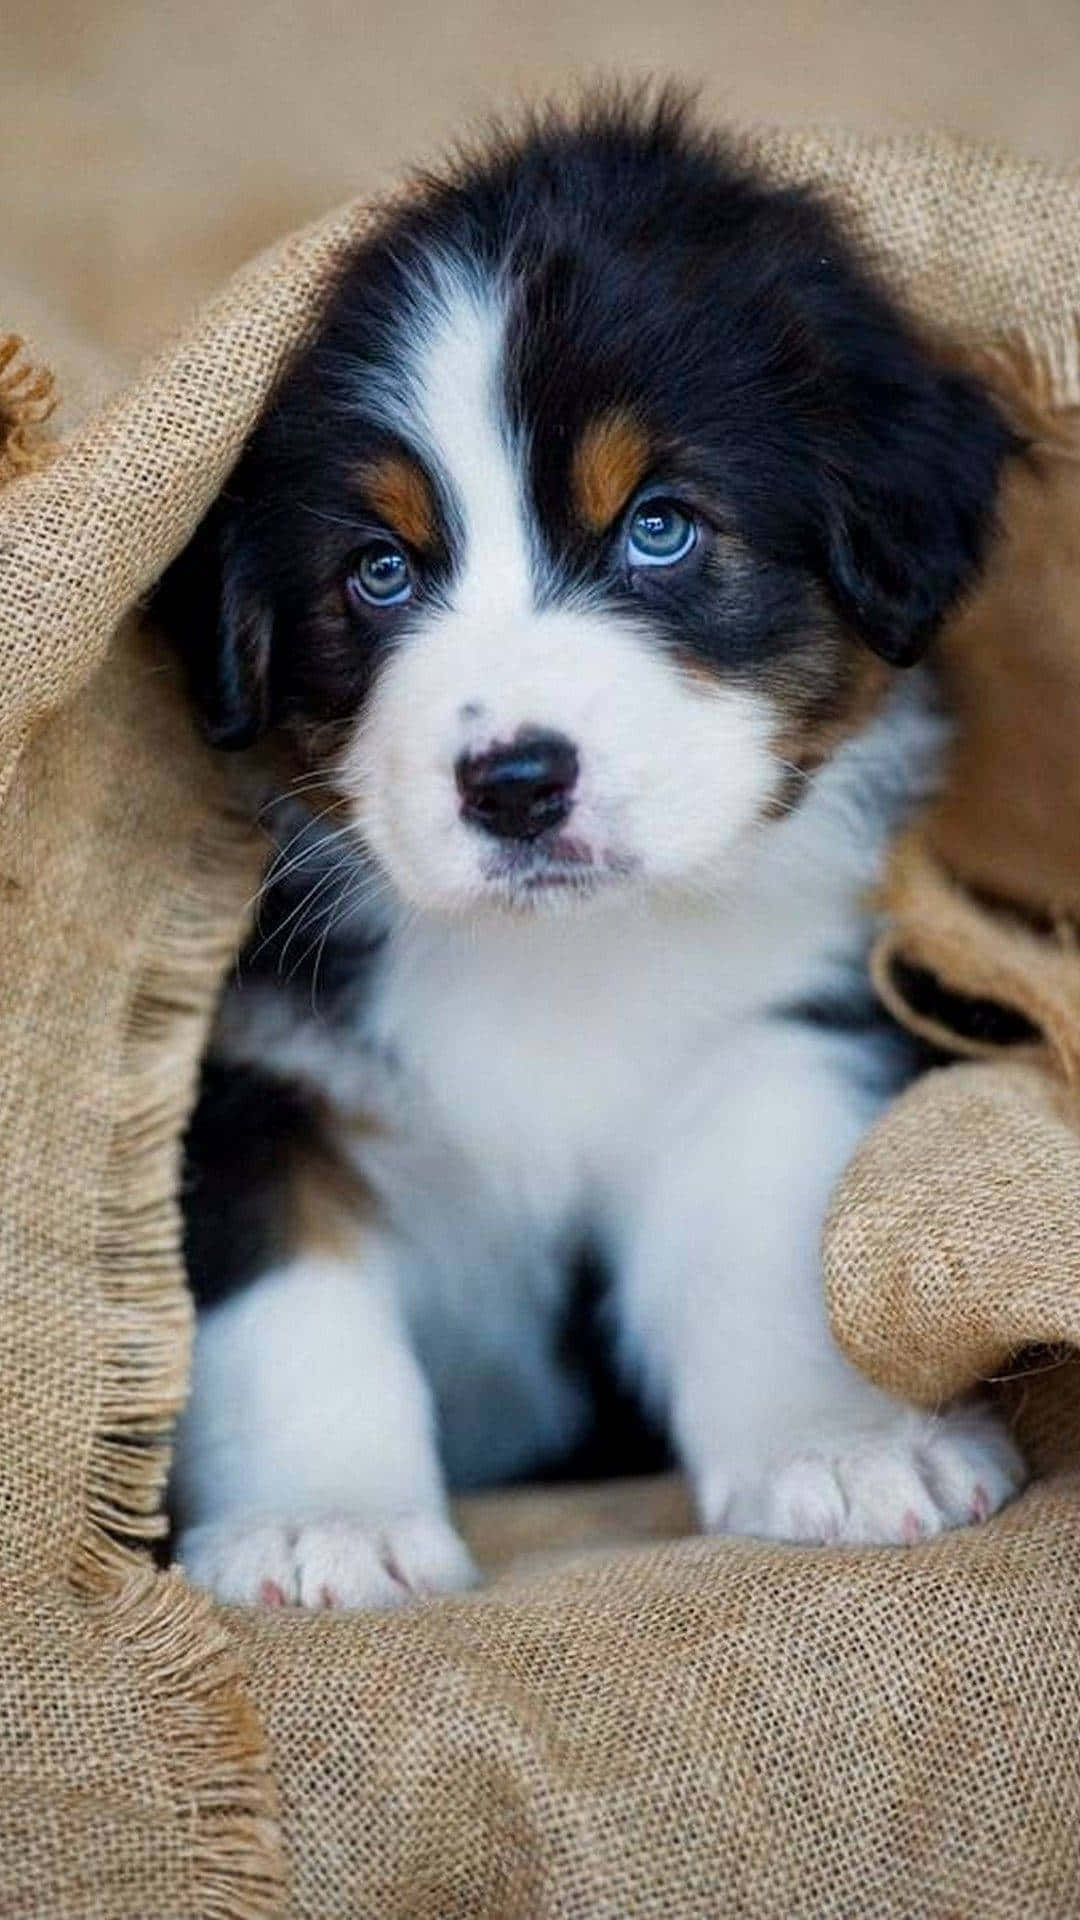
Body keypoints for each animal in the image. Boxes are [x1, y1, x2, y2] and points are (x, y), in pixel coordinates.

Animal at [161, 93, 1022, 1620]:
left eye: (659, 526)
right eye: (378, 570)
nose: (514, 784)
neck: (558, 960)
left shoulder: (775, 1025)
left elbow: (773, 1243)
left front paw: (850, 1444)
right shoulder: (255, 1074)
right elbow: (289, 1310)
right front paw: (319, 1526)